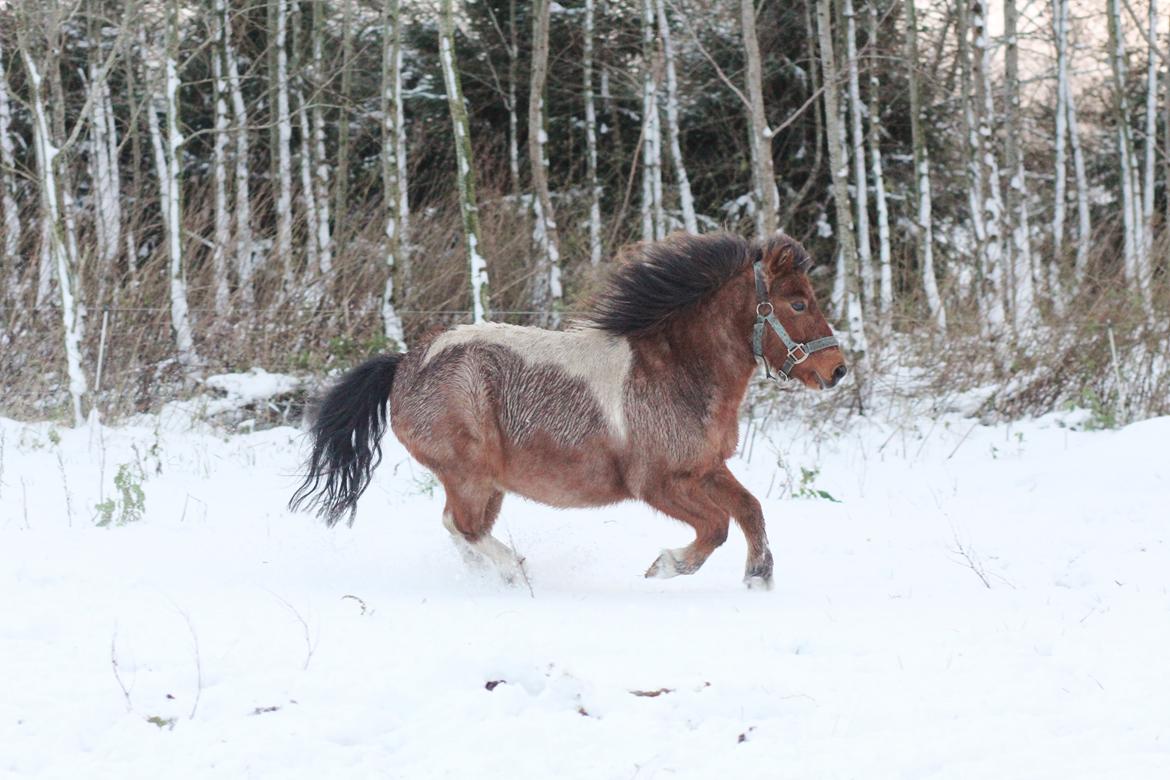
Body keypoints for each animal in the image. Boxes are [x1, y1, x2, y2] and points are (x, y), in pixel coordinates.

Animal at [290, 231, 842, 584]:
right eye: (797, 303)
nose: (836, 370)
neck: (678, 371)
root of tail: (405, 363)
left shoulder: (704, 467)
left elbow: (749, 511)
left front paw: (758, 578)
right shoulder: (656, 483)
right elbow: (716, 527)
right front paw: (665, 566)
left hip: (488, 483)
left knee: (459, 528)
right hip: (469, 473)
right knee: (464, 527)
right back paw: (512, 572)